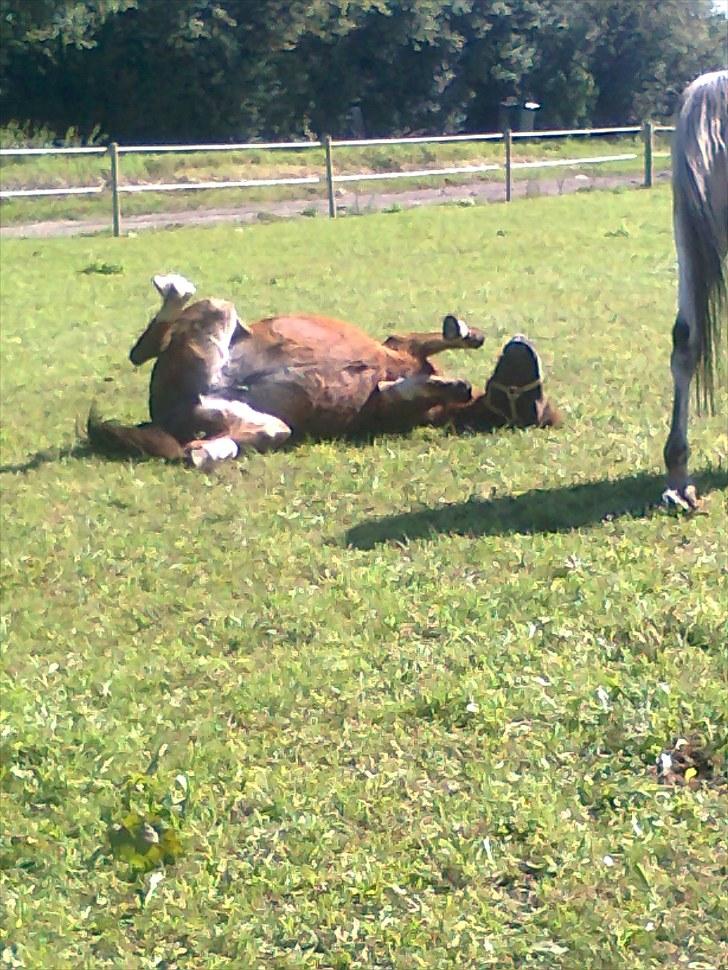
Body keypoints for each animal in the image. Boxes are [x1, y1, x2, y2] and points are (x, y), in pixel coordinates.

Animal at [88, 274, 560, 467]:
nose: (522, 347)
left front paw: (447, 382)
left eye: (532, 404)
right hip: (217, 315)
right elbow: (443, 342)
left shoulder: (387, 401)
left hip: (258, 422)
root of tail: (165, 411)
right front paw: (464, 334)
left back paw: (209, 453)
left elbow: (412, 387)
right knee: (140, 351)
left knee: (199, 448)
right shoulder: (398, 346)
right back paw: (174, 289)